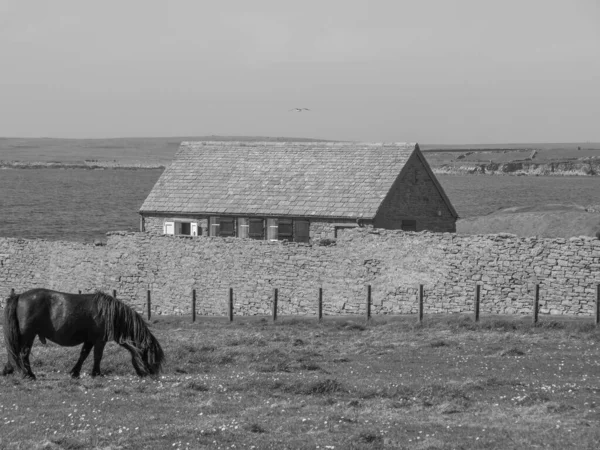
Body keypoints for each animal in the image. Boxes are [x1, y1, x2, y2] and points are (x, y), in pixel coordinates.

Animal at [1, 288, 164, 380]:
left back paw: (9, 370)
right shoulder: (99, 341)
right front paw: (96, 373)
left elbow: (83, 355)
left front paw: (75, 373)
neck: (109, 313)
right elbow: (97, 356)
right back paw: (28, 374)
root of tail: (19, 296)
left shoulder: (90, 340)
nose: (152, 374)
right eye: (148, 355)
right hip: (28, 335)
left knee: (14, 353)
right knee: (23, 354)